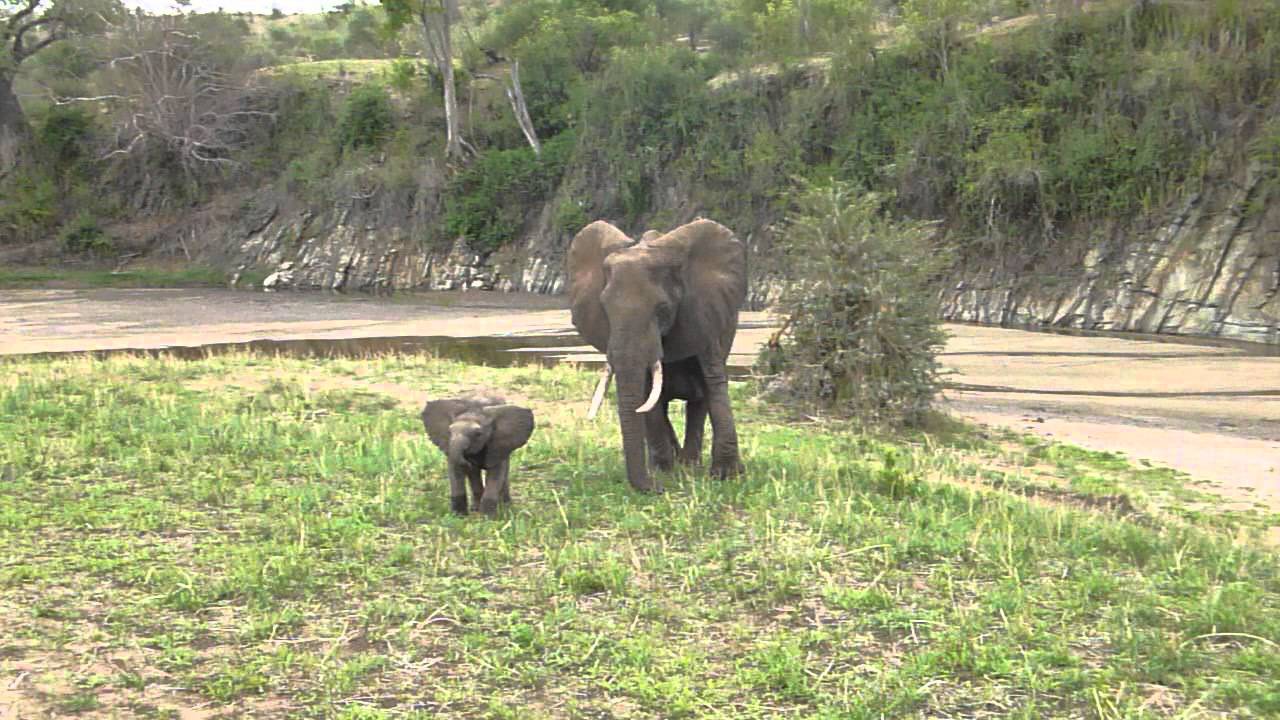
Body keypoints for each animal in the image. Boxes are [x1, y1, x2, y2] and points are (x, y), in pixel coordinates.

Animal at [568, 218, 748, 493]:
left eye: (662, 309)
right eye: (605, 309)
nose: (658, 489)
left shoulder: (703, 315)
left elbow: (714, 383)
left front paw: (727, 475)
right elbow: (646, 394)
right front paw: (664, 472)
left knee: (699, 401)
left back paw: (689, 464)